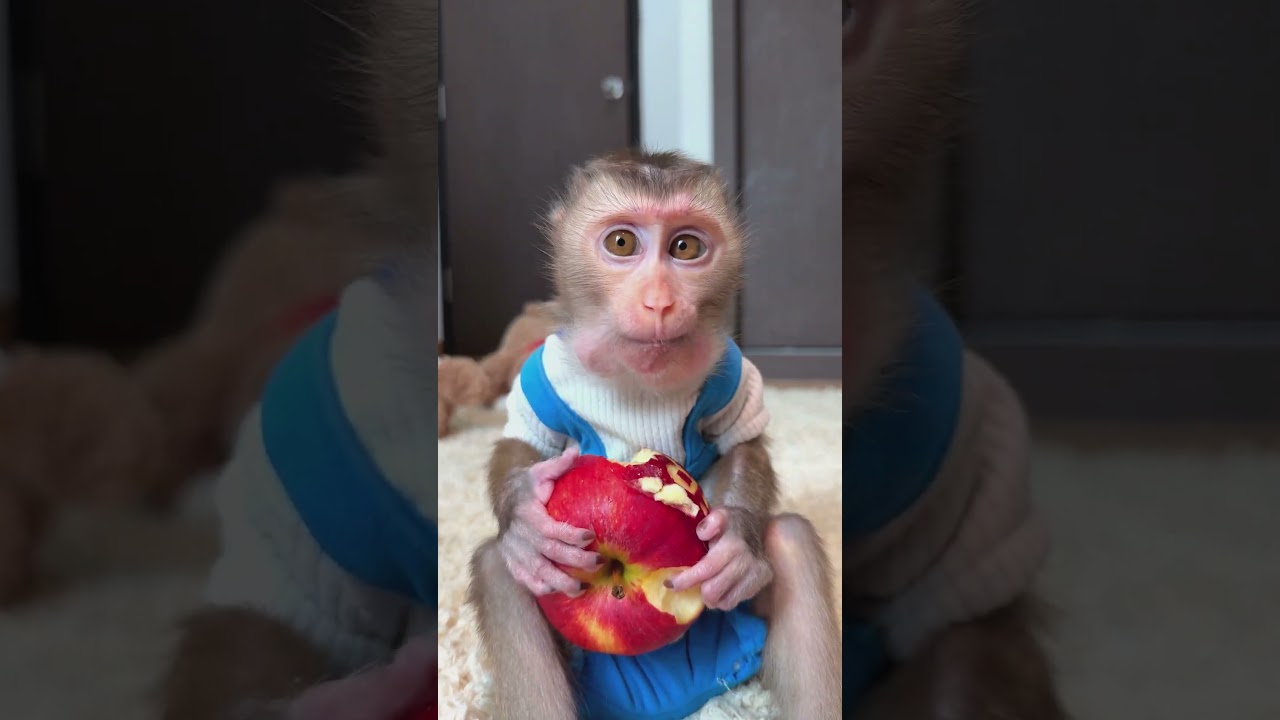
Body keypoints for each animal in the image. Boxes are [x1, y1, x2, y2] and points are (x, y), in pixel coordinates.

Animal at [464, 148, 843, 720]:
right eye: (621, 243)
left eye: (685, 247)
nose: (660, 302)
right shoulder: (540, 372)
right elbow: (523, 445)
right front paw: (528, 521)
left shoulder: (732, 370)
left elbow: (742, 443)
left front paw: (737, 544)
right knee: (500, 572)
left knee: (792, 541)